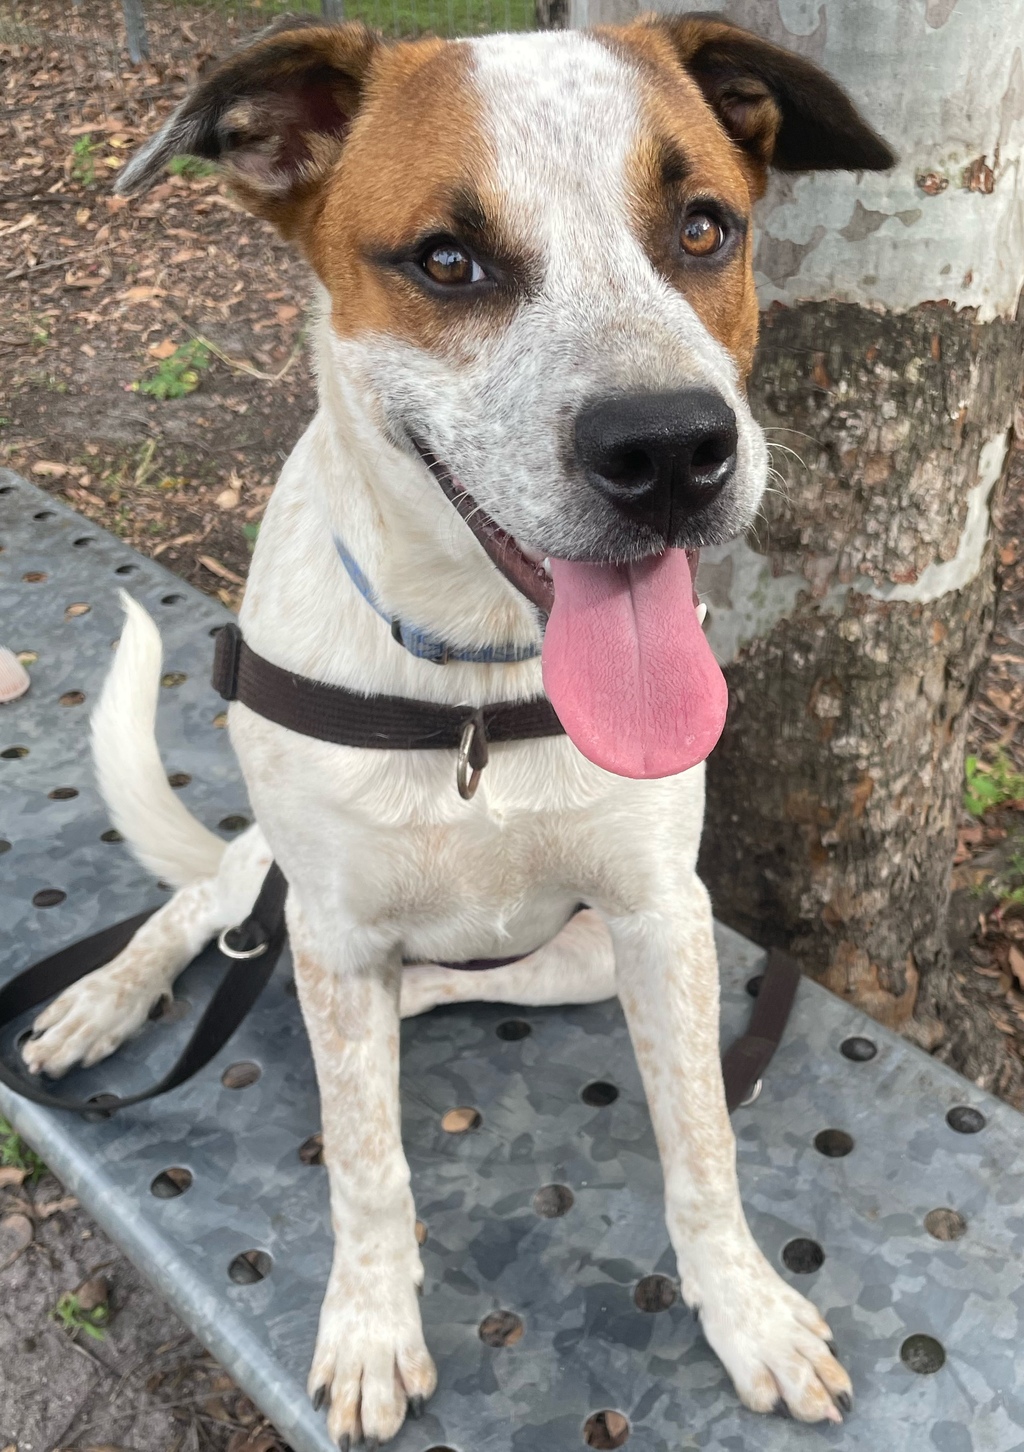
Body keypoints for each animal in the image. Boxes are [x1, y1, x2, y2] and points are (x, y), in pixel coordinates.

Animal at [22, 14, 893, 1445]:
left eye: (703, 228)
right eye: (446, 259)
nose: (671, 451)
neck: (475, 689)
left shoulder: (662, 918)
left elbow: (701, 1145)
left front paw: (746, 1312)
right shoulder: (328, 921)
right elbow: (367, 1168)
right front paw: (372, 1327)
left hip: (575, 954)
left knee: (417, 988)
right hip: (286, 887)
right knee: (206, 901)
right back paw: (106, 997)